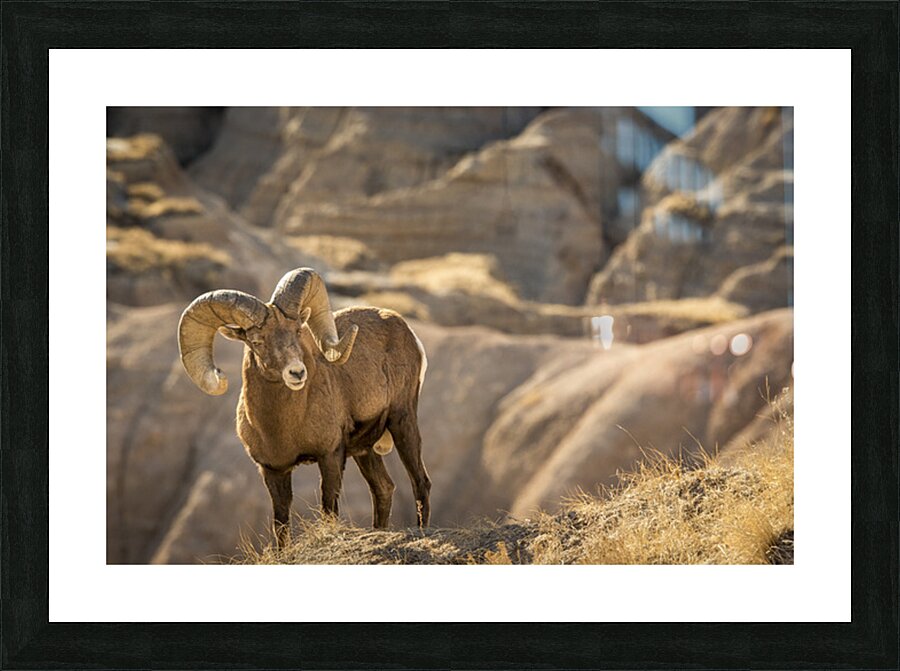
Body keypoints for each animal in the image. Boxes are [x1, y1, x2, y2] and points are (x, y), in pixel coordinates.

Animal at [178, 267, 431, 545]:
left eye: (298, 331)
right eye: (257, 341)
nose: (297, 373)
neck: (282, 427)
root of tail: (405, 328)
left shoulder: (330, 456)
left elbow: (329, 509)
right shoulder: (273, 471)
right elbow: (280, 525)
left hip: (402, 422)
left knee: (420, 482)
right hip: (365, 450)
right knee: (384, 488)